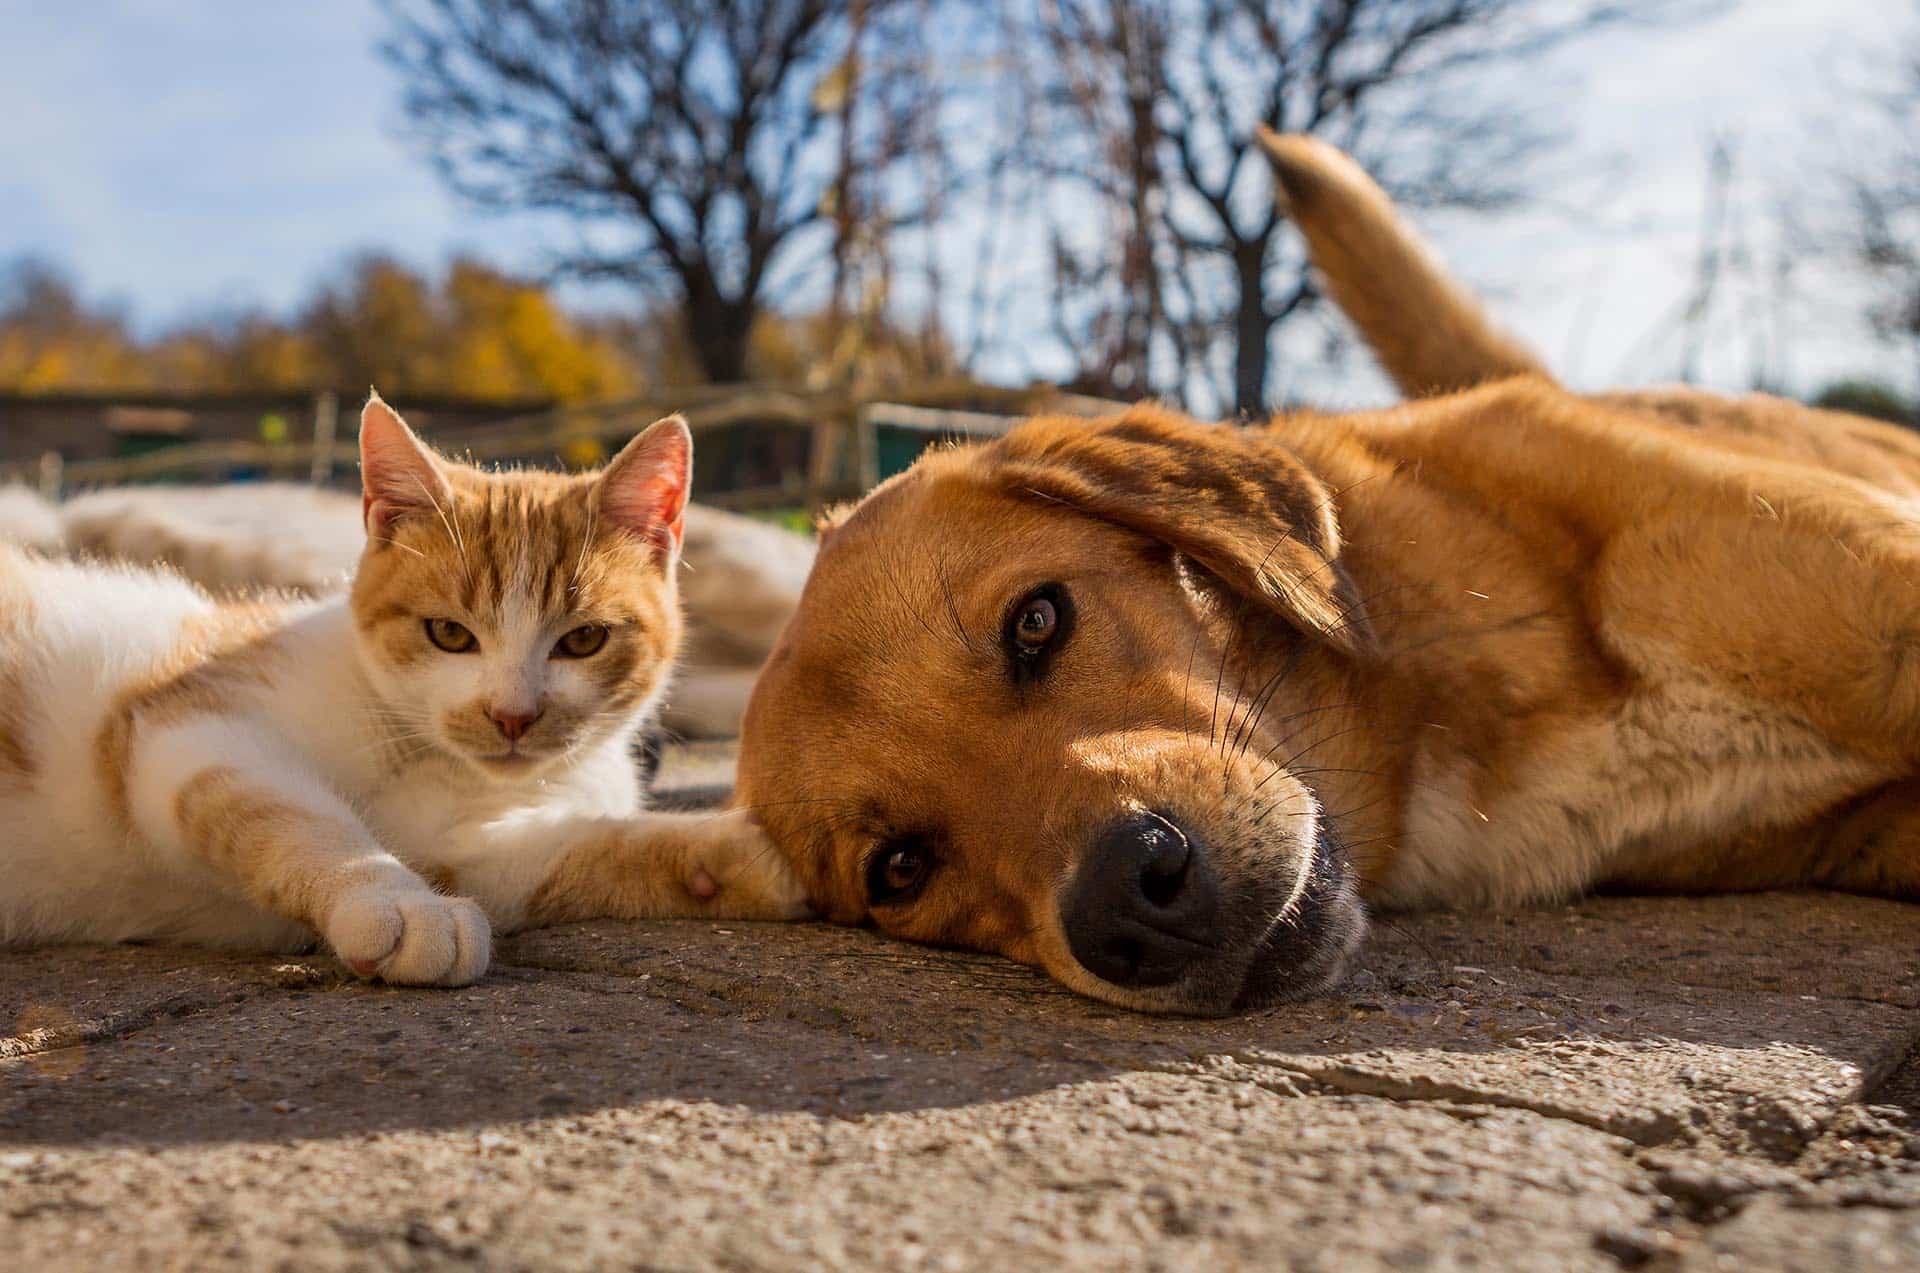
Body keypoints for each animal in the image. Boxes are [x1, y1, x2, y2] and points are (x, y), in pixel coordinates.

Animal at [0, 399, 802, 983]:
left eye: (583, 640)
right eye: (448, 633)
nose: (512, 715)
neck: (421, 749)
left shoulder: (465, 847)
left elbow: (564, 852)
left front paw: (730, 858)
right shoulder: (186, 721)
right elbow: (294, 817)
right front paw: (394, 903)